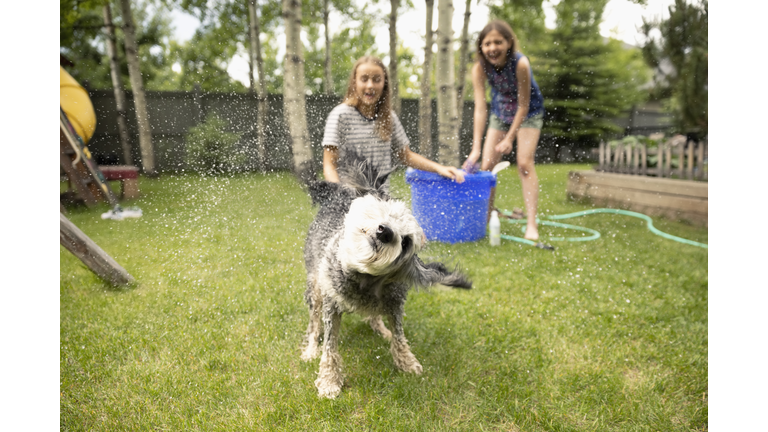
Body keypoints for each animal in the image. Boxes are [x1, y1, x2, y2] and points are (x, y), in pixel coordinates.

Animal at [302, 155, 472, 398]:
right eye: (387, 214)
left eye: (406, 242)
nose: (386, 232)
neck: (363, 279)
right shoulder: (331, 304)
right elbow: (330, 346)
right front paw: (329, 380)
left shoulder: (395, 303)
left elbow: (399, 336)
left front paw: (407, 362)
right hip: (315, 287)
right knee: (314, 324)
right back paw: (310, 350)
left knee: (374, 315)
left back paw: (382, 330)